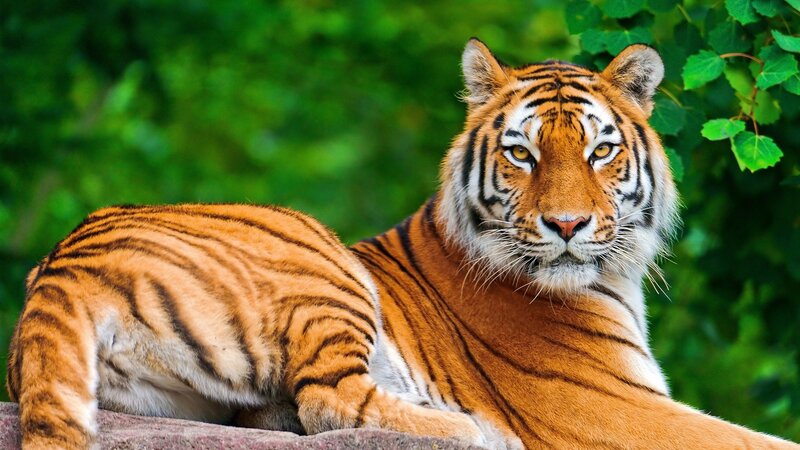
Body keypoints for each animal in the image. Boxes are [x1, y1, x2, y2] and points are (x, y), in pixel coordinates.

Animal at [7, 39, 799, 449]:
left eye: (600, 151)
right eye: (523, 154)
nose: (568, 226)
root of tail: (61, 265)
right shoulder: (609, 407)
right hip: (319, 259)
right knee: (329, 400)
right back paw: (470, 429)